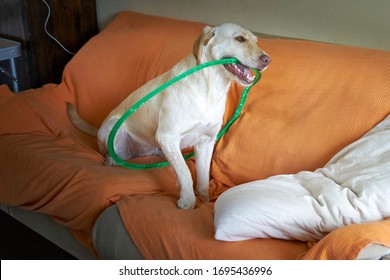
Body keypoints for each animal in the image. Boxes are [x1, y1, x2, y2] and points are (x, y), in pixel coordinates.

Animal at [68, 23, 272, 208]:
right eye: (240, 39)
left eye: (256, 41)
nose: (267, 60)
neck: (210, 89)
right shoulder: (168, 136)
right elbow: (186, 173)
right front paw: (188, 201)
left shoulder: (206, 142)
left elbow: (203, 179)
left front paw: (205, 200)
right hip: (112, 127)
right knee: (107, 152)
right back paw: (112, 160)